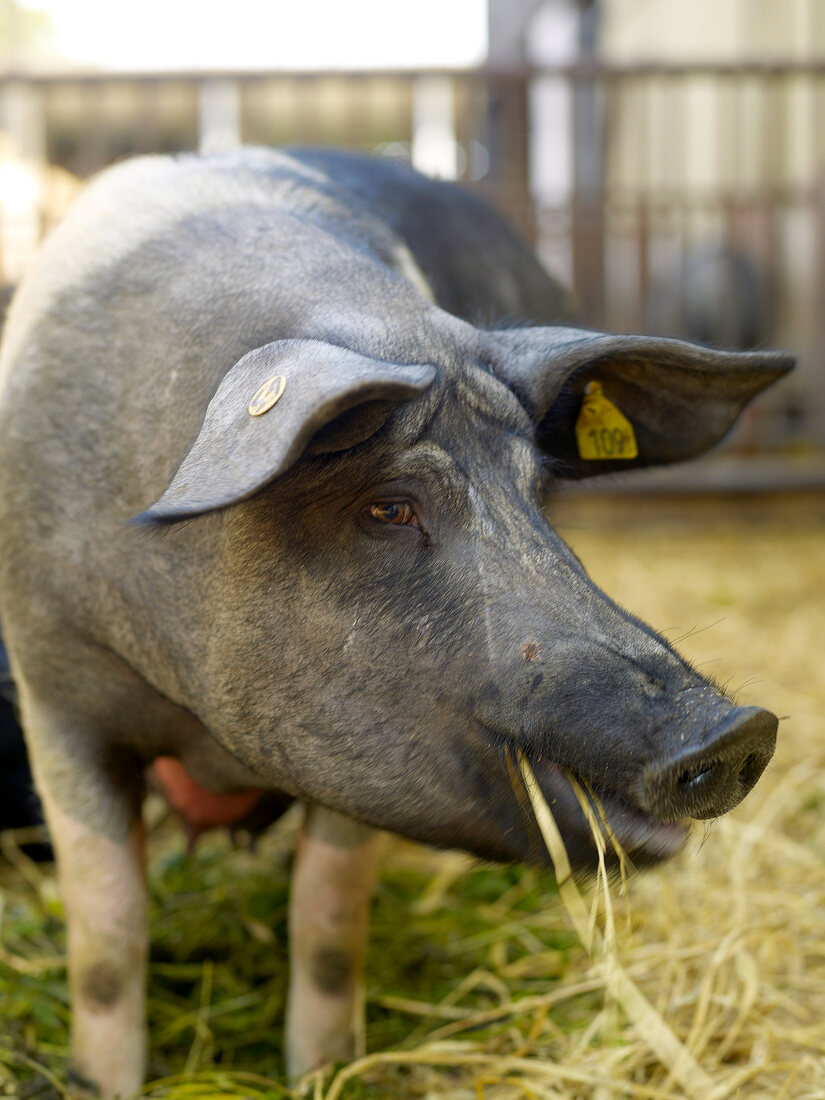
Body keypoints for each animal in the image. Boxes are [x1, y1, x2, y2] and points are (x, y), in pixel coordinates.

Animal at [0, 148, 796, 1100]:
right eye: (387, 506)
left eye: (536, 491)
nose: (737, 732)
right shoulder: (53, 686)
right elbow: (108, 937)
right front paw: (98, 1080)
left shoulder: (369, 756)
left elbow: (327, 925)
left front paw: (324, 1071)